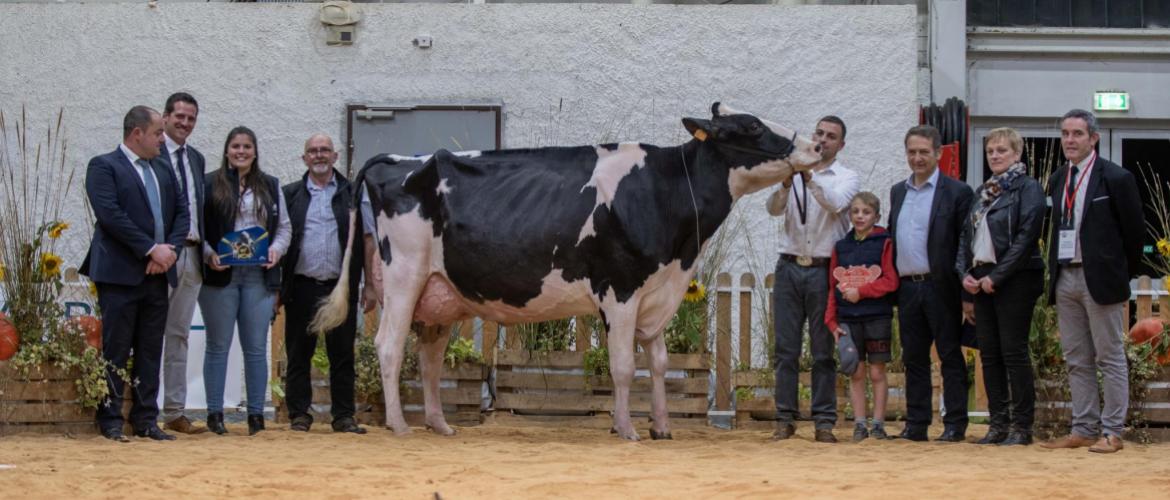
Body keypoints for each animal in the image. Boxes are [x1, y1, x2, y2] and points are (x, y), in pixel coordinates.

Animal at [315, 103, 819, 440]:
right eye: (752, 126)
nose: (815, 145)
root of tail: (399, 160)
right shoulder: (620, 289)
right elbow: (622, 366)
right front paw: (625, 429)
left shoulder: (659, 292)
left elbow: (657, 363)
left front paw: (661, 427)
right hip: (405, 275)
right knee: (389, 346)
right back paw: (400, 424)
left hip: (441, 294)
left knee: (429, 356)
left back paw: (439, 425)